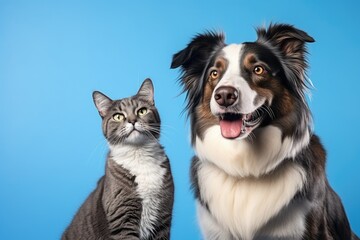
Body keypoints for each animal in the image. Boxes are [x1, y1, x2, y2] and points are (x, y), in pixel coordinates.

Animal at [62, 79, 174, 240]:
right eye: (118, 116)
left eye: (142, 111)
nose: (132, 121)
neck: (139, 155)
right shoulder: (122, 218)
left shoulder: (163, 218)